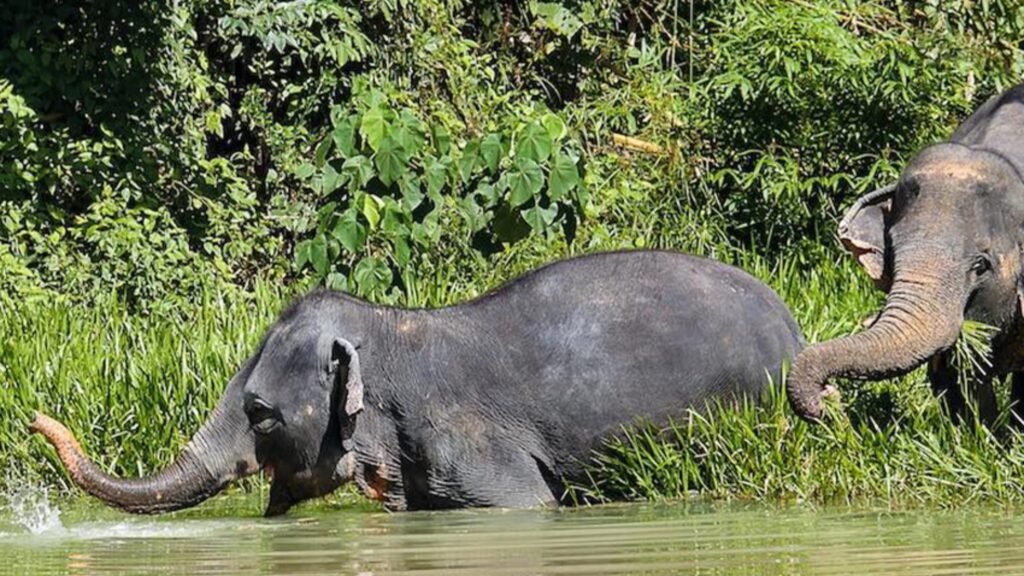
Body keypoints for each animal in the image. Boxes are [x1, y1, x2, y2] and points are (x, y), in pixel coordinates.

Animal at [32, 249, 802, 512]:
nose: (34, 419)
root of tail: (793, 326)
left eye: (259, 413)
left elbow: (529, 503)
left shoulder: (466, 441)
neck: (392, 328)